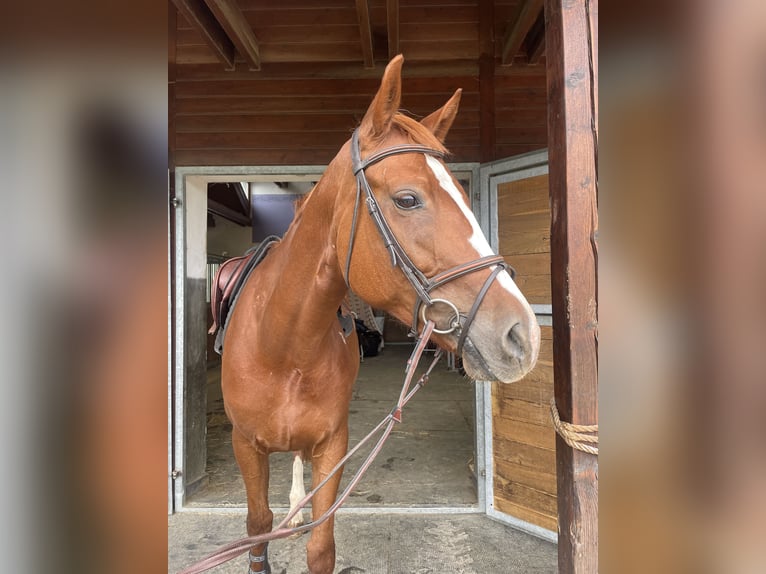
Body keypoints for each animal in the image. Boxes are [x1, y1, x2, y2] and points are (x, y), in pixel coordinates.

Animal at [219, 55, 544, 574]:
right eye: (408, 198)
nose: (523, 335)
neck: (284, 347)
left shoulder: (332, 445)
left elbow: (320, 546)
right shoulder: (246, 446)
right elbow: (257, 528)